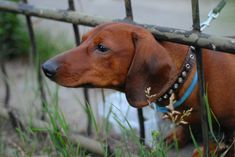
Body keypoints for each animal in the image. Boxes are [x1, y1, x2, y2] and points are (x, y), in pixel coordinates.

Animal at [42, 22, 235, 156]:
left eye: (102, 47)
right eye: (82, 40)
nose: (46, 67)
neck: (189, 74)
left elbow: (229, 140)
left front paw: (211, 148)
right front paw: (176, 136)